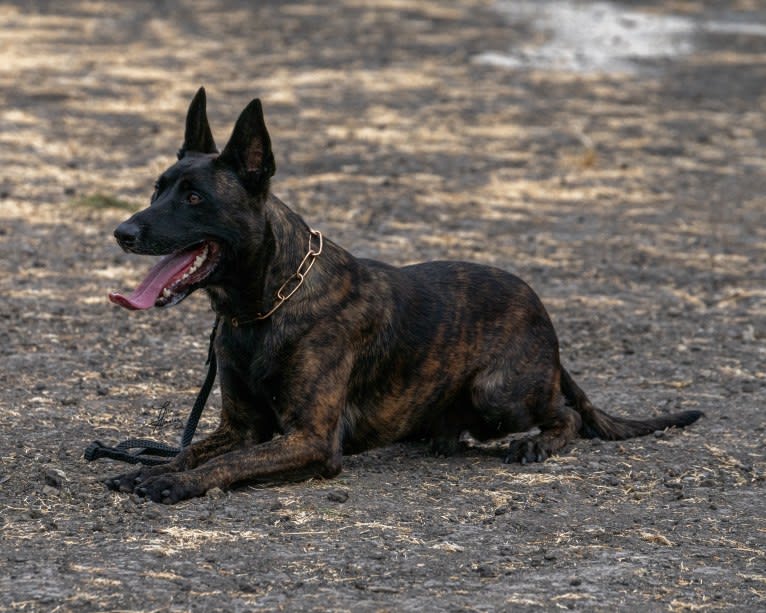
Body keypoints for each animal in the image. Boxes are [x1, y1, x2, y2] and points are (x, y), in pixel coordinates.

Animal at [105, 89, 704, 502]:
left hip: (498, 391)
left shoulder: (311, 439)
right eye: (157, 189)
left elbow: (220, 466)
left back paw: (536, 442)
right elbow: (191, 451)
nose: (122, 232)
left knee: (566, 416)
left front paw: (174, 483)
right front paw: (154, 467)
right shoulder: (241, 427)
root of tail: (546, 323)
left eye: (195, 197)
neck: (266, 304)